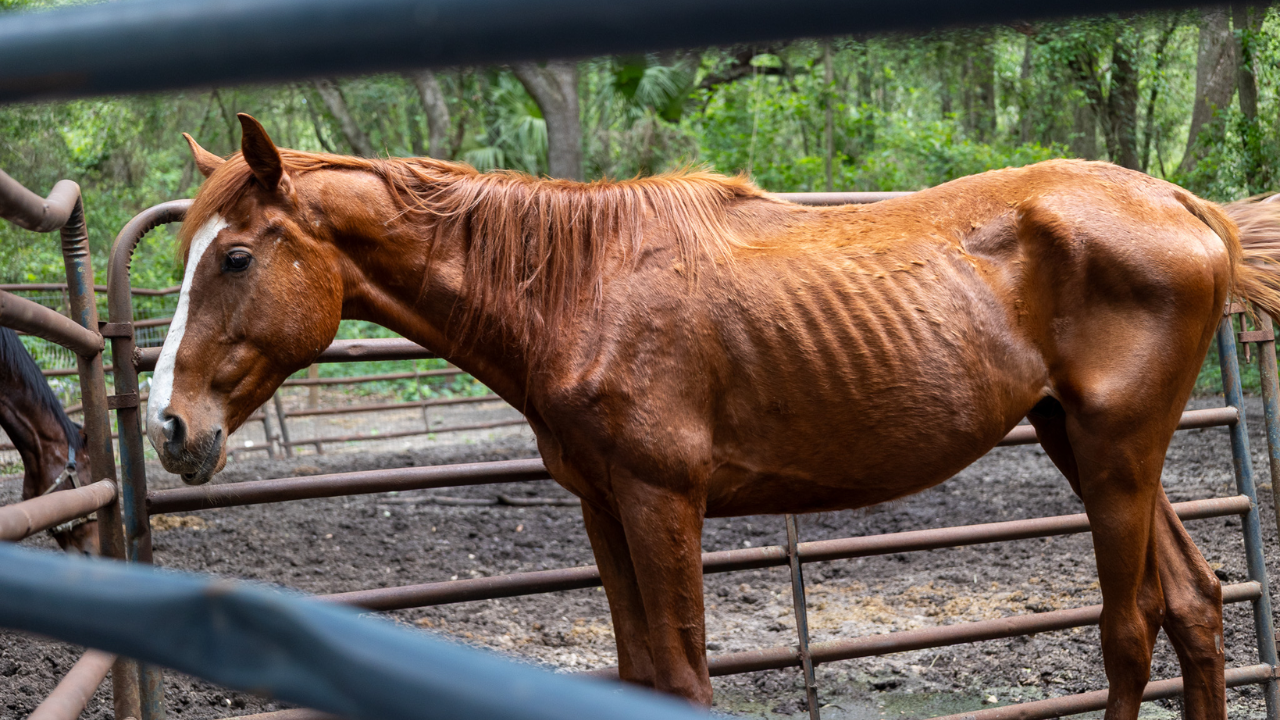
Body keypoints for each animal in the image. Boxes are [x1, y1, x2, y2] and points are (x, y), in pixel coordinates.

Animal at [148, 113, 1280, 720]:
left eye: (235, 257)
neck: (580, 288)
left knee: (1129, 628)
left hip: (1115, 455)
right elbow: (640, 676)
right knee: (1193, 606)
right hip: (1086, 445)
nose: (169, 427)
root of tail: (1184, 207)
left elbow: (688, 681)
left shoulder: (664, 504)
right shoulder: (603, 508)